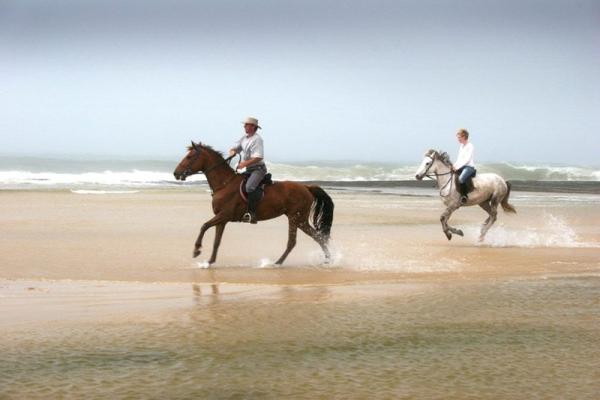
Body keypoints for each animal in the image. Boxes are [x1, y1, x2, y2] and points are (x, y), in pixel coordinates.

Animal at [172, 141, 332, 266]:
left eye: (189, 157)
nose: (175, 173)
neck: (225, 184)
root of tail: (307, 187)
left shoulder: (224, 215)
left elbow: (204, 226)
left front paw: (196, 250)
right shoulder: (221, 220)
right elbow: (216, 241)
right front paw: (210, 261)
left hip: (296, 218)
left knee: (297, 241)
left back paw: (277, 263)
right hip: (298, 219)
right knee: (316, 237)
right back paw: (327, 259)